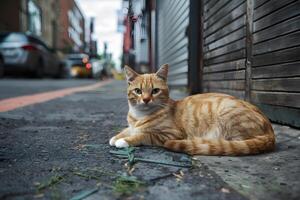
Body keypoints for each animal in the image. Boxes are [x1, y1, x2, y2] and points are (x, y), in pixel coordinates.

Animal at [109, 63, 276, 155]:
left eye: (155, 91)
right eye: (138, 91)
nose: (145, 99)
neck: (139, 116)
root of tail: (270, 131)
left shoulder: (169, 135)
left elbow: (143, 135)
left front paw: (124, 141)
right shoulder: (132, 125)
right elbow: (127, 129)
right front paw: (117, 137)